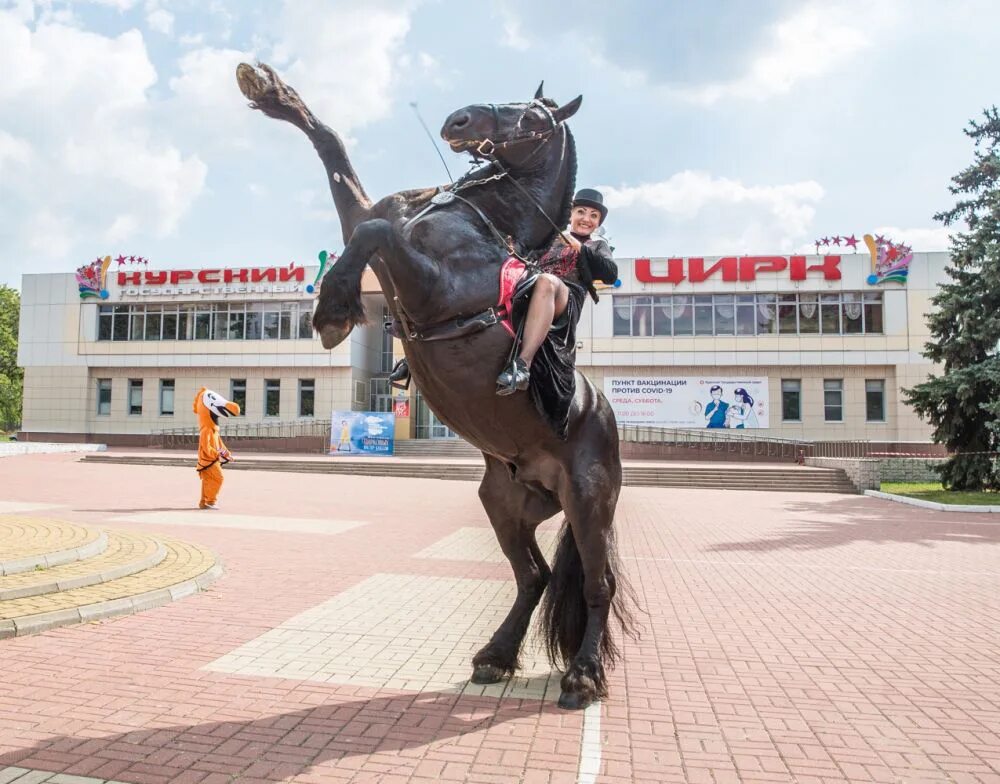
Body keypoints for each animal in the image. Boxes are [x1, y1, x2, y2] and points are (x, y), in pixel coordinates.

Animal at [236, 62, 632, 712]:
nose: (460, 120)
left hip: (588, 501)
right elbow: (339, 161)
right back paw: (495, 656)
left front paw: (333, 311)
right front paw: (272, 92)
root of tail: (599, 416)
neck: (485, 222)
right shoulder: (377, 234)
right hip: (508, 503)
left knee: (598, 584)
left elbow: (373, 228)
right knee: (535, 577)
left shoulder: (426, 284)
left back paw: (582, 675)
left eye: (534, 116)